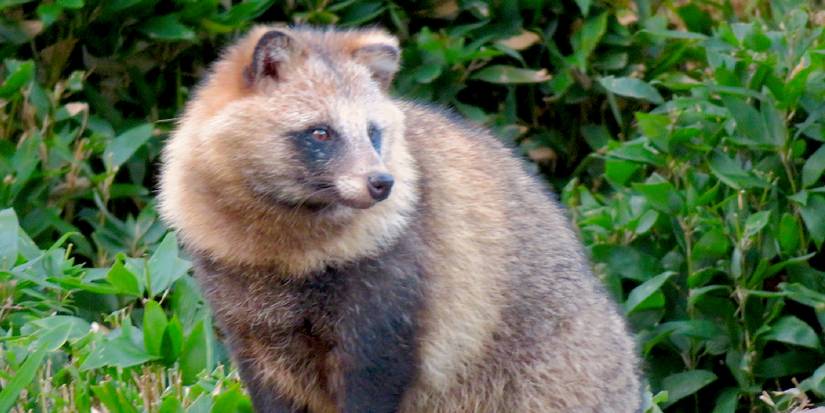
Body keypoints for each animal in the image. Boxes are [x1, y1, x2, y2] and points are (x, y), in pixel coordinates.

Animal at [158, 25, 643, 413]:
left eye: (373, 131)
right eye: (321, 131)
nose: (381, 183)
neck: (287, 237)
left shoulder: (395, 286)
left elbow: (377, 377)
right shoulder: (244, 312)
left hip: (550, 377)